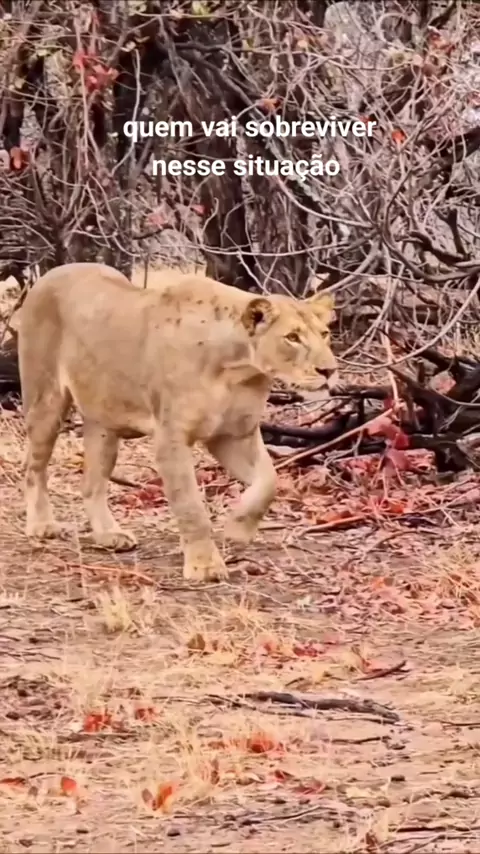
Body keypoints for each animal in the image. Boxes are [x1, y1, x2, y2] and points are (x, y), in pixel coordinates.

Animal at [17, 262, 338, 582]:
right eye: (292, 337)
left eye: (324, 333)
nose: (329, 370)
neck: (240, 371)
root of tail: (50, 274)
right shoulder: (172, 438)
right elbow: (191, 506)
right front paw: (204, 565)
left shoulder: (234, 435)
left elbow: (269, 481)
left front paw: (237, 528)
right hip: (46, 401)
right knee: (34, 467)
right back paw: (42, 526)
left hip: (104, 422)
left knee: (91, 482)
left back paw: (109, 534)